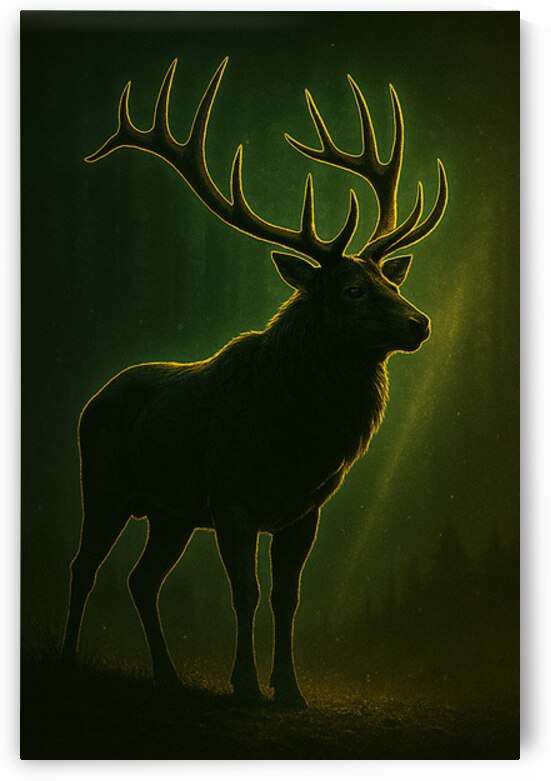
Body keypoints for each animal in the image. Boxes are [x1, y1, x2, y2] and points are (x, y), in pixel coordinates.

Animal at [61, 57, 448, 708]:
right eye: (352, 290)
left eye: (390, 282)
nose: (419, 322)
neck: (295, 441)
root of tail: (94, 398)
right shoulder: (232, 497)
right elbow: (246, 594)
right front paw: (244, 684)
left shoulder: (304, 509)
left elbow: (288, 600)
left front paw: (289, 689)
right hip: (106, 485)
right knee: (84, 566)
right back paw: (67, 660)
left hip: (169, 512)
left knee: (142, 579)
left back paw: (167, 675)